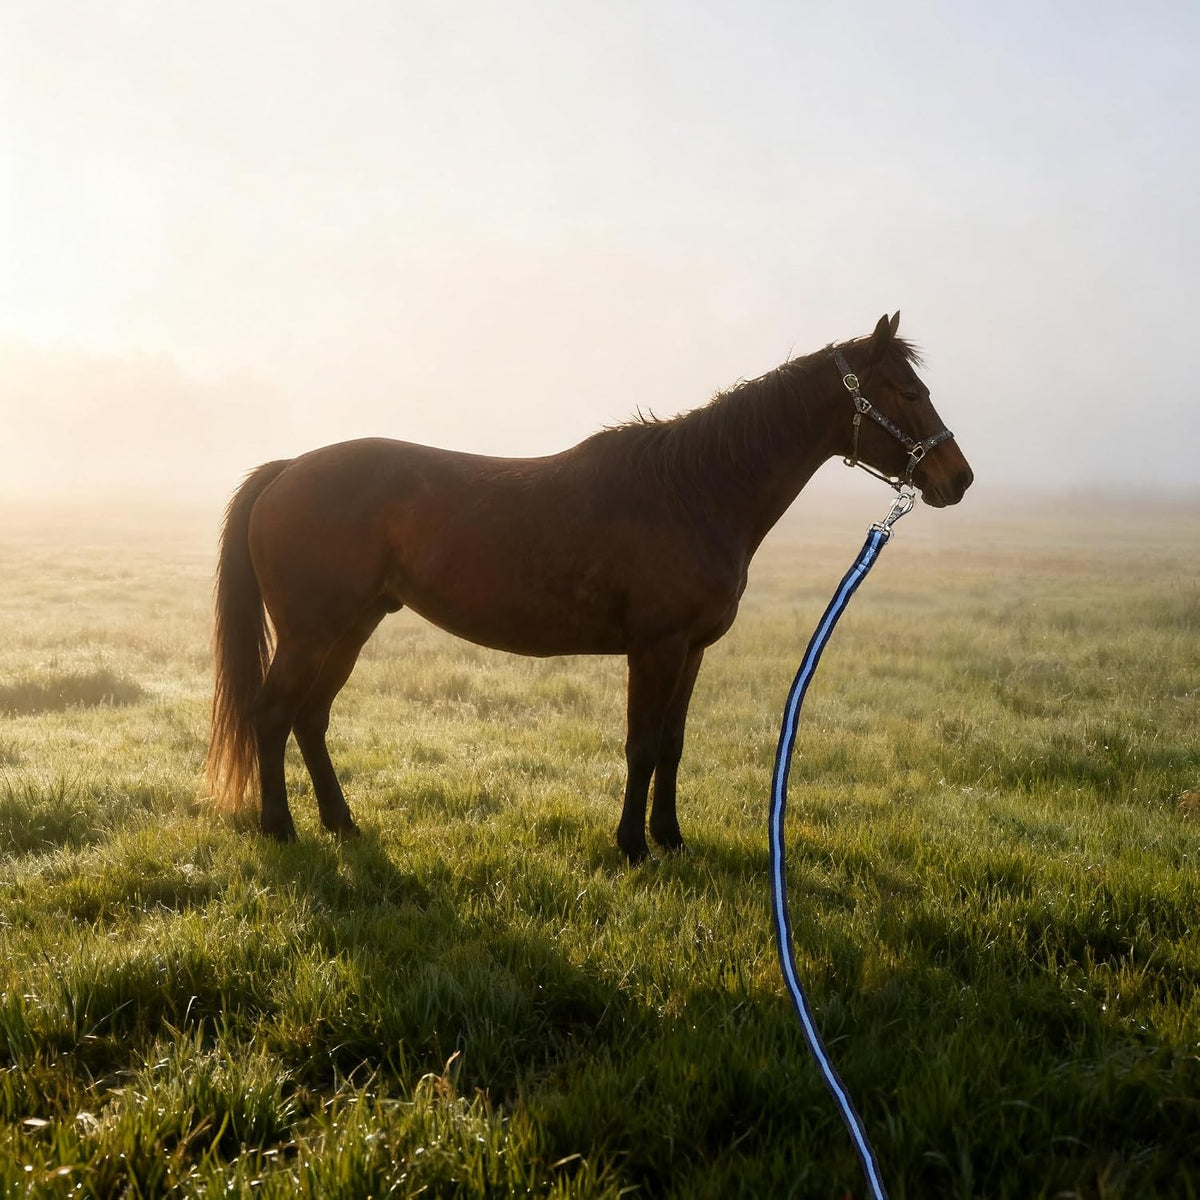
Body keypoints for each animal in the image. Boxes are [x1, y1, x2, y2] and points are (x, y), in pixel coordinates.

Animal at [206, 312, 973, 862]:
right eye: (907, 391)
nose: (958, 479)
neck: (693, 492)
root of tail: (288, 469)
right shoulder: (655, 648)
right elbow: (640, 745)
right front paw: (631, 846)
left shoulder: (692, 651)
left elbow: (672, 745)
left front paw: (670, 838)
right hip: (311, 631)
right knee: (273, 714)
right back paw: (281, 830)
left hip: (351, 626)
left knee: (310, 718)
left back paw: (343, 824)